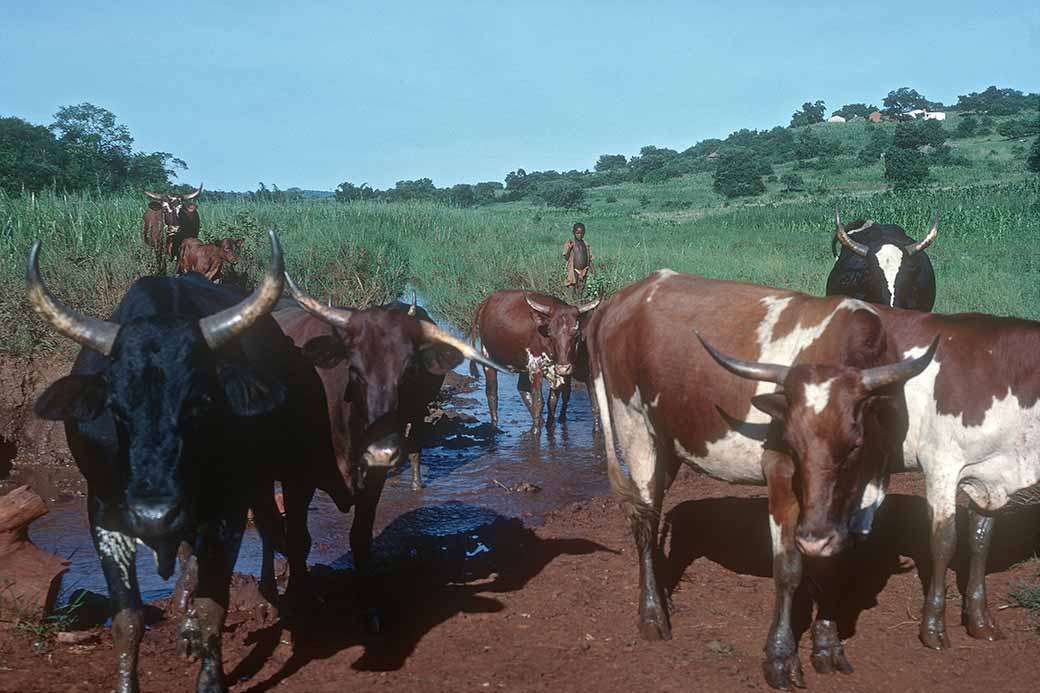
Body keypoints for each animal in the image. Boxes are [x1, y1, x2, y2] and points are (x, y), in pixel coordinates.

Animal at [467, 287, 599, 428]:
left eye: (575, 333)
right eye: (550, 332)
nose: (564, 368)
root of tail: (487, 301)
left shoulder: (559, 373)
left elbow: (553, 401)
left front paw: (549, 424)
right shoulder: (536, 368)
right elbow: (538, 402)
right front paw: (536, 429)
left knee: (522, 389)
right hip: (488, 358)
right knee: (492, 393)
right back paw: (495, 423)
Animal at [586, 268, 935, 686]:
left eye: (854, 445)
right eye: (792, 443)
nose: (813, 536)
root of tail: (627, 295)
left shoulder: (864, 488)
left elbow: (834, 561)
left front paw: (827, 645)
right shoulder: (782, 477)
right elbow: (788, 569)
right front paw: (781, 656)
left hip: (667, 440)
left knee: (653, 515)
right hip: (634, 425)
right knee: (643, 519)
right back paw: (652, 613)